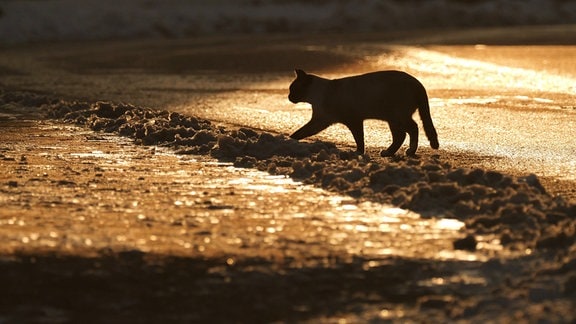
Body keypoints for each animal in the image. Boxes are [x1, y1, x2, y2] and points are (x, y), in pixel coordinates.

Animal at [290, 69, 438, 156]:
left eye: (293, 89)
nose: (289, 97)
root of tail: (418, 84)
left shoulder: (354, 121)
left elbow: (359, 139)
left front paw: (359, 153)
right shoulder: (320, 121)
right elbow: (301, 132)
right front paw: (290, 140)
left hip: (397, 117)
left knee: (413, 128)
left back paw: (410, 151)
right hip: (392, 119)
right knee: (401, 136)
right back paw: (388, 153)